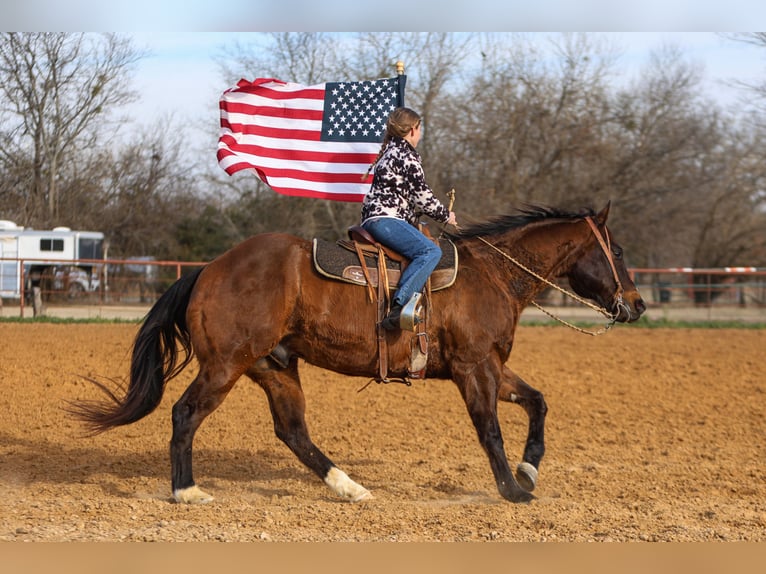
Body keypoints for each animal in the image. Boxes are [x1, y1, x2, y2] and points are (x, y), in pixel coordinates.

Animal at [70, 201, 648, 504]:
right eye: (617, 250)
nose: (638, 305)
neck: (493, 276)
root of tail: (208, 270)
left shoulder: (491, 367)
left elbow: (537, 402)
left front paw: (527, 472)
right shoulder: (474, 369)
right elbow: (489, 430)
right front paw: (512, 489)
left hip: (274, 367)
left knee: (293, 432)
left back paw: (348, 486)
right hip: (225, 366)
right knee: (185, 413)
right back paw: (187, 491)